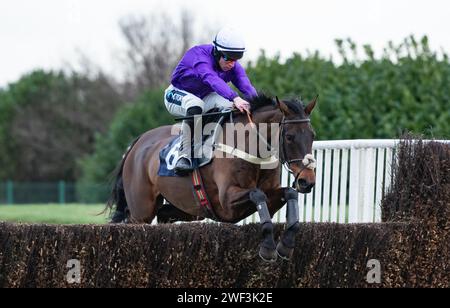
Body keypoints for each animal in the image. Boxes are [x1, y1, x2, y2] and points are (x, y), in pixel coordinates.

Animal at [106, 94, 316, 262]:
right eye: (289, 137)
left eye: (312, 135)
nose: (307, 181)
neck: (250, 147)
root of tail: (138, 141)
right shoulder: (227, 203)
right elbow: (258, 195)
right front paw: (268, 248)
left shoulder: (270, 194)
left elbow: (289, 193)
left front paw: (286, 245)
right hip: (141, 211)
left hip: (189, 209)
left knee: (164, 215)